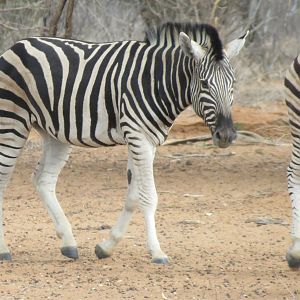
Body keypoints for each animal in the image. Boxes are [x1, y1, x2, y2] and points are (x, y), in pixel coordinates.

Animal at [0, 23, 247, 262]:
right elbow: (149, 197)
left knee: (43, 180)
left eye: (233, 83)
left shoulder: (148, 141)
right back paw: (4, 250)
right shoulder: (138, 136)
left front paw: (106, 247)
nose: (226, 135)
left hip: (56, 134)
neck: (158, 82)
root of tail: (18, 44)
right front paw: (157, 252)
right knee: (5, 180)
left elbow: (134, 197)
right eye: (204, 84)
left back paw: (68, 243)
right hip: (12, 122)